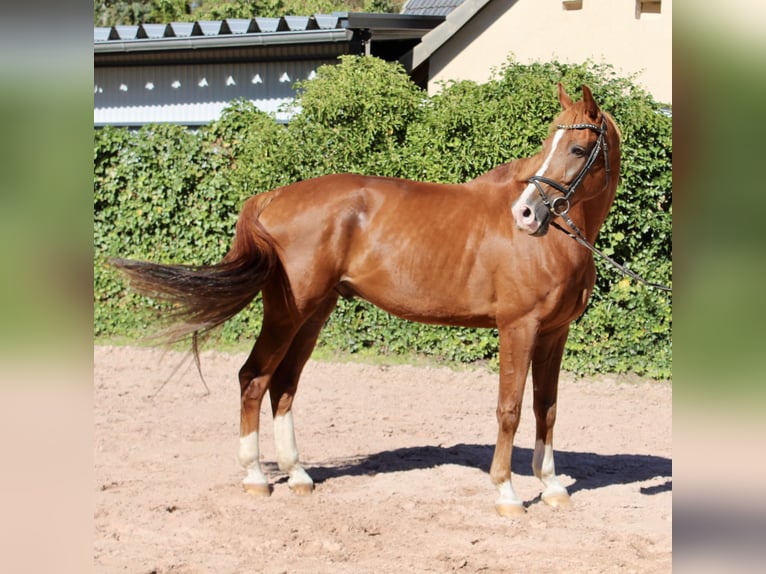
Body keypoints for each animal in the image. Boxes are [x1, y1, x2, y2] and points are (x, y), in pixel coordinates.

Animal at [112, 83, 621, 516]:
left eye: (577, 148)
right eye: (549, 142)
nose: (526, 213)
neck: (556, 239)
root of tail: (272, 197)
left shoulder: (554, 332)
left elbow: (545, 407)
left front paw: (551, 486)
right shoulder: (518, 327)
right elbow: (510, 409)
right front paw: (508, 493)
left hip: (314, 313)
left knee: (283, 385)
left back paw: (297, 474)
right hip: (287, 312)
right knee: (253, 378)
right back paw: (255, 476)